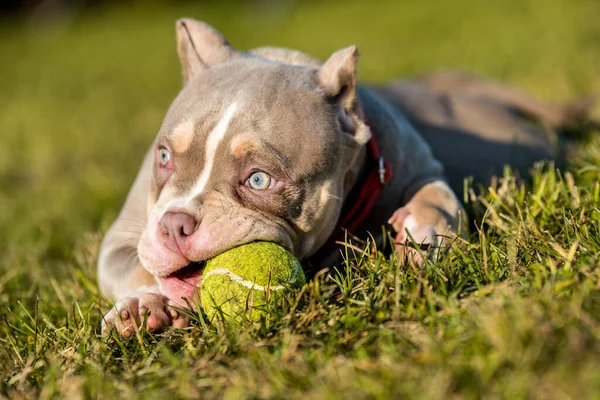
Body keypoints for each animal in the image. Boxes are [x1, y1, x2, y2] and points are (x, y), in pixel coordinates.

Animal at [98, 19, 596, 338]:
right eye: (164, 157)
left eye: (259, 181)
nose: (175, 225)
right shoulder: (122, 238)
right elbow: (135, 264)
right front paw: (142, 307)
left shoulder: (421, 167)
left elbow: (437, 199)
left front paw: (420, 237)